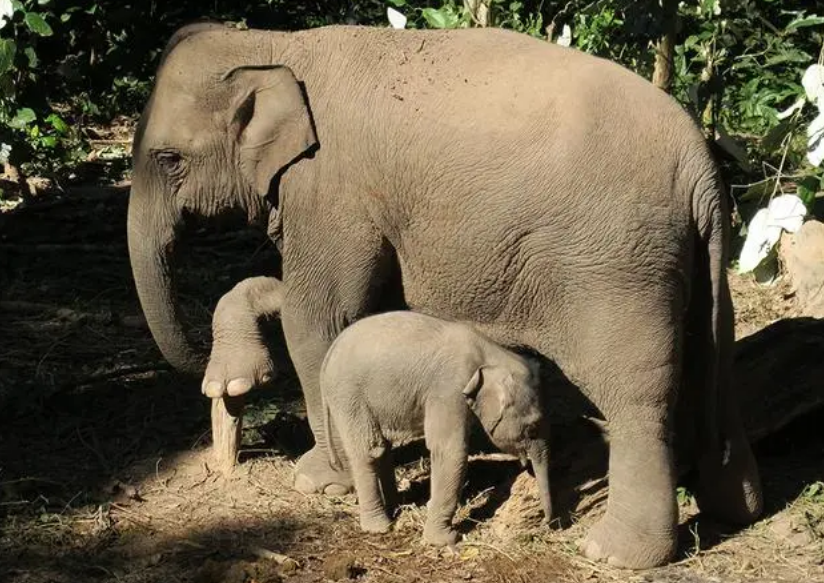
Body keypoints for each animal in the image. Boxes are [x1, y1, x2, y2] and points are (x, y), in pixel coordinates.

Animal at [319, 311, 551, 545]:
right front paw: (446, 540)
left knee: (382, 449)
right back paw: (380, 526)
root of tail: (329, 353)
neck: (491, 353)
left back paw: (395, 507)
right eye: (532, 428)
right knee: (368, 451)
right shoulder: (449, 390)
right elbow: (450, 451)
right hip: (349, 396)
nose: (547, 524)